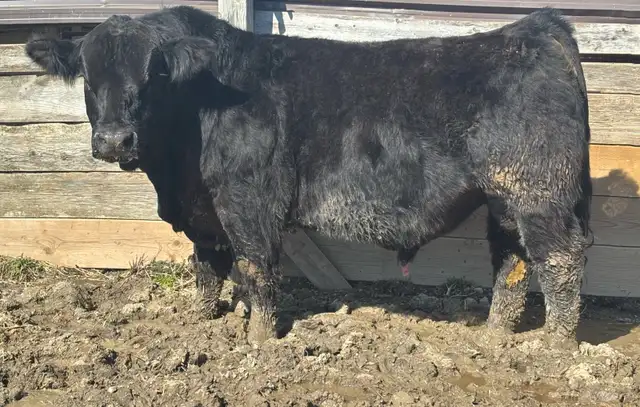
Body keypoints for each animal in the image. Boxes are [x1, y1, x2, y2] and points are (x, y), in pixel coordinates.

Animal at [25, 5, 592, 347]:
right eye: (87, 75)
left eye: (155, 72)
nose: (114, 140)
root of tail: (538, 28)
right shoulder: (205, 213)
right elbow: (206, 267)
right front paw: (202, 324)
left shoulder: (248, 201)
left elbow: (256, 270)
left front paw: (258, 341)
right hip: (505, 198)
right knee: (512, 261)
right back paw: (495, 336)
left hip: (541, 193)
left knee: (559, 262)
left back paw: (554, 346)